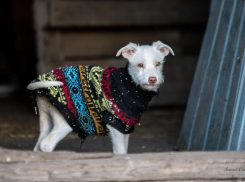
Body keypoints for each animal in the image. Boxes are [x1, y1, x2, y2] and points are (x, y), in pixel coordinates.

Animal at [27, 40, 174, 154]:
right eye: (140, 65)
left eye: (158, 64)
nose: (153, 79)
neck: (129, 84)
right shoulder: (115, 125)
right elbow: (120, 152)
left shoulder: (125, 128)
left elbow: (123, 152)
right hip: (64, 121)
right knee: (46, 144)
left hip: (46, 120)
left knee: (37, 147)